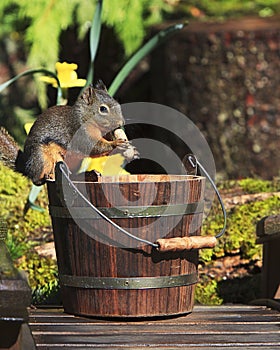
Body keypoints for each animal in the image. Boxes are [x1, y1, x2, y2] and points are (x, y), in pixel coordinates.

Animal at [0, 81, 138, 186]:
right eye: (103, 109)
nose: (121, 123)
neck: (85, 118)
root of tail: (25, 166)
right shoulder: (80, 133)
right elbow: (93, 147)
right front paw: (116, 144)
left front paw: (132, 150)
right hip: (42, 157)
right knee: (36, 179)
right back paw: (46, 177)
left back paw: (89, 174)